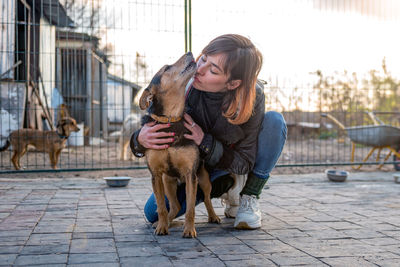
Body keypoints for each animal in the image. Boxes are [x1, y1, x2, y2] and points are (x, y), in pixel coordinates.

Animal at [139, 52, 220, 239]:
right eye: (167, 68)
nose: (189, 53)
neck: (171, 119)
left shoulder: (191, 175)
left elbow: (190, 208)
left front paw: (189, 230)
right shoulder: (156, 175)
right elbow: (161, 207)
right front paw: (162, 227)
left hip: (203, 179)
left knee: (206, 199)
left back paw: (213, 216)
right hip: (168, 181)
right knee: (174, 206)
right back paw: (164, 222)